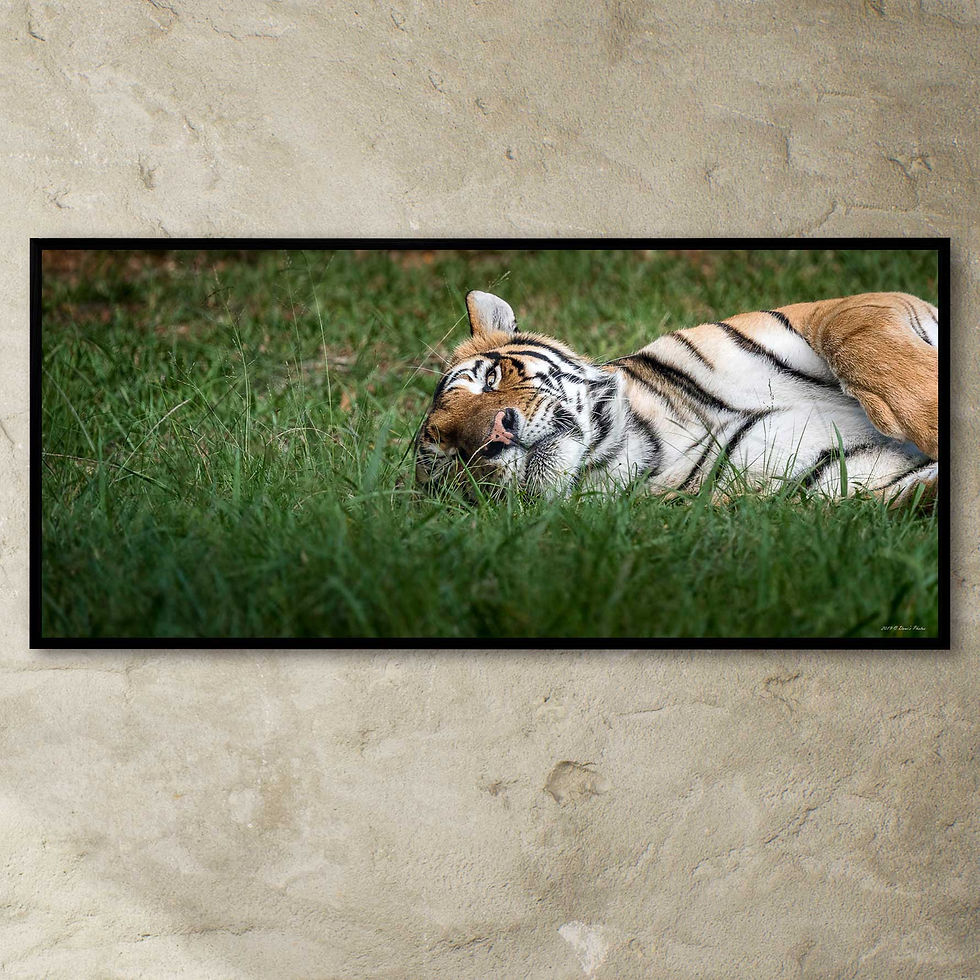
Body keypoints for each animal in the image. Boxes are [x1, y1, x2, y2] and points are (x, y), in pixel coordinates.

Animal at [414, 288, 940, 506]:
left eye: (489, 379)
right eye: (452, 461)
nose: (493, 437)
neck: (657, 432)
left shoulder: (833, 312)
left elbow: (855, 334)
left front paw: (930, 418)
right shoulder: (847, 483)